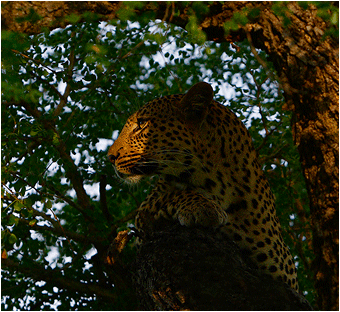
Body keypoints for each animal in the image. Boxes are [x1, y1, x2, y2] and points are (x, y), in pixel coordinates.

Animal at [108, 80, 298, 290]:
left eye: (141, 124)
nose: (110, 157)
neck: (217, 182)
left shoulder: (283, 271)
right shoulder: (145, 217)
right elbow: (169, 196)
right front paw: (203, 207)